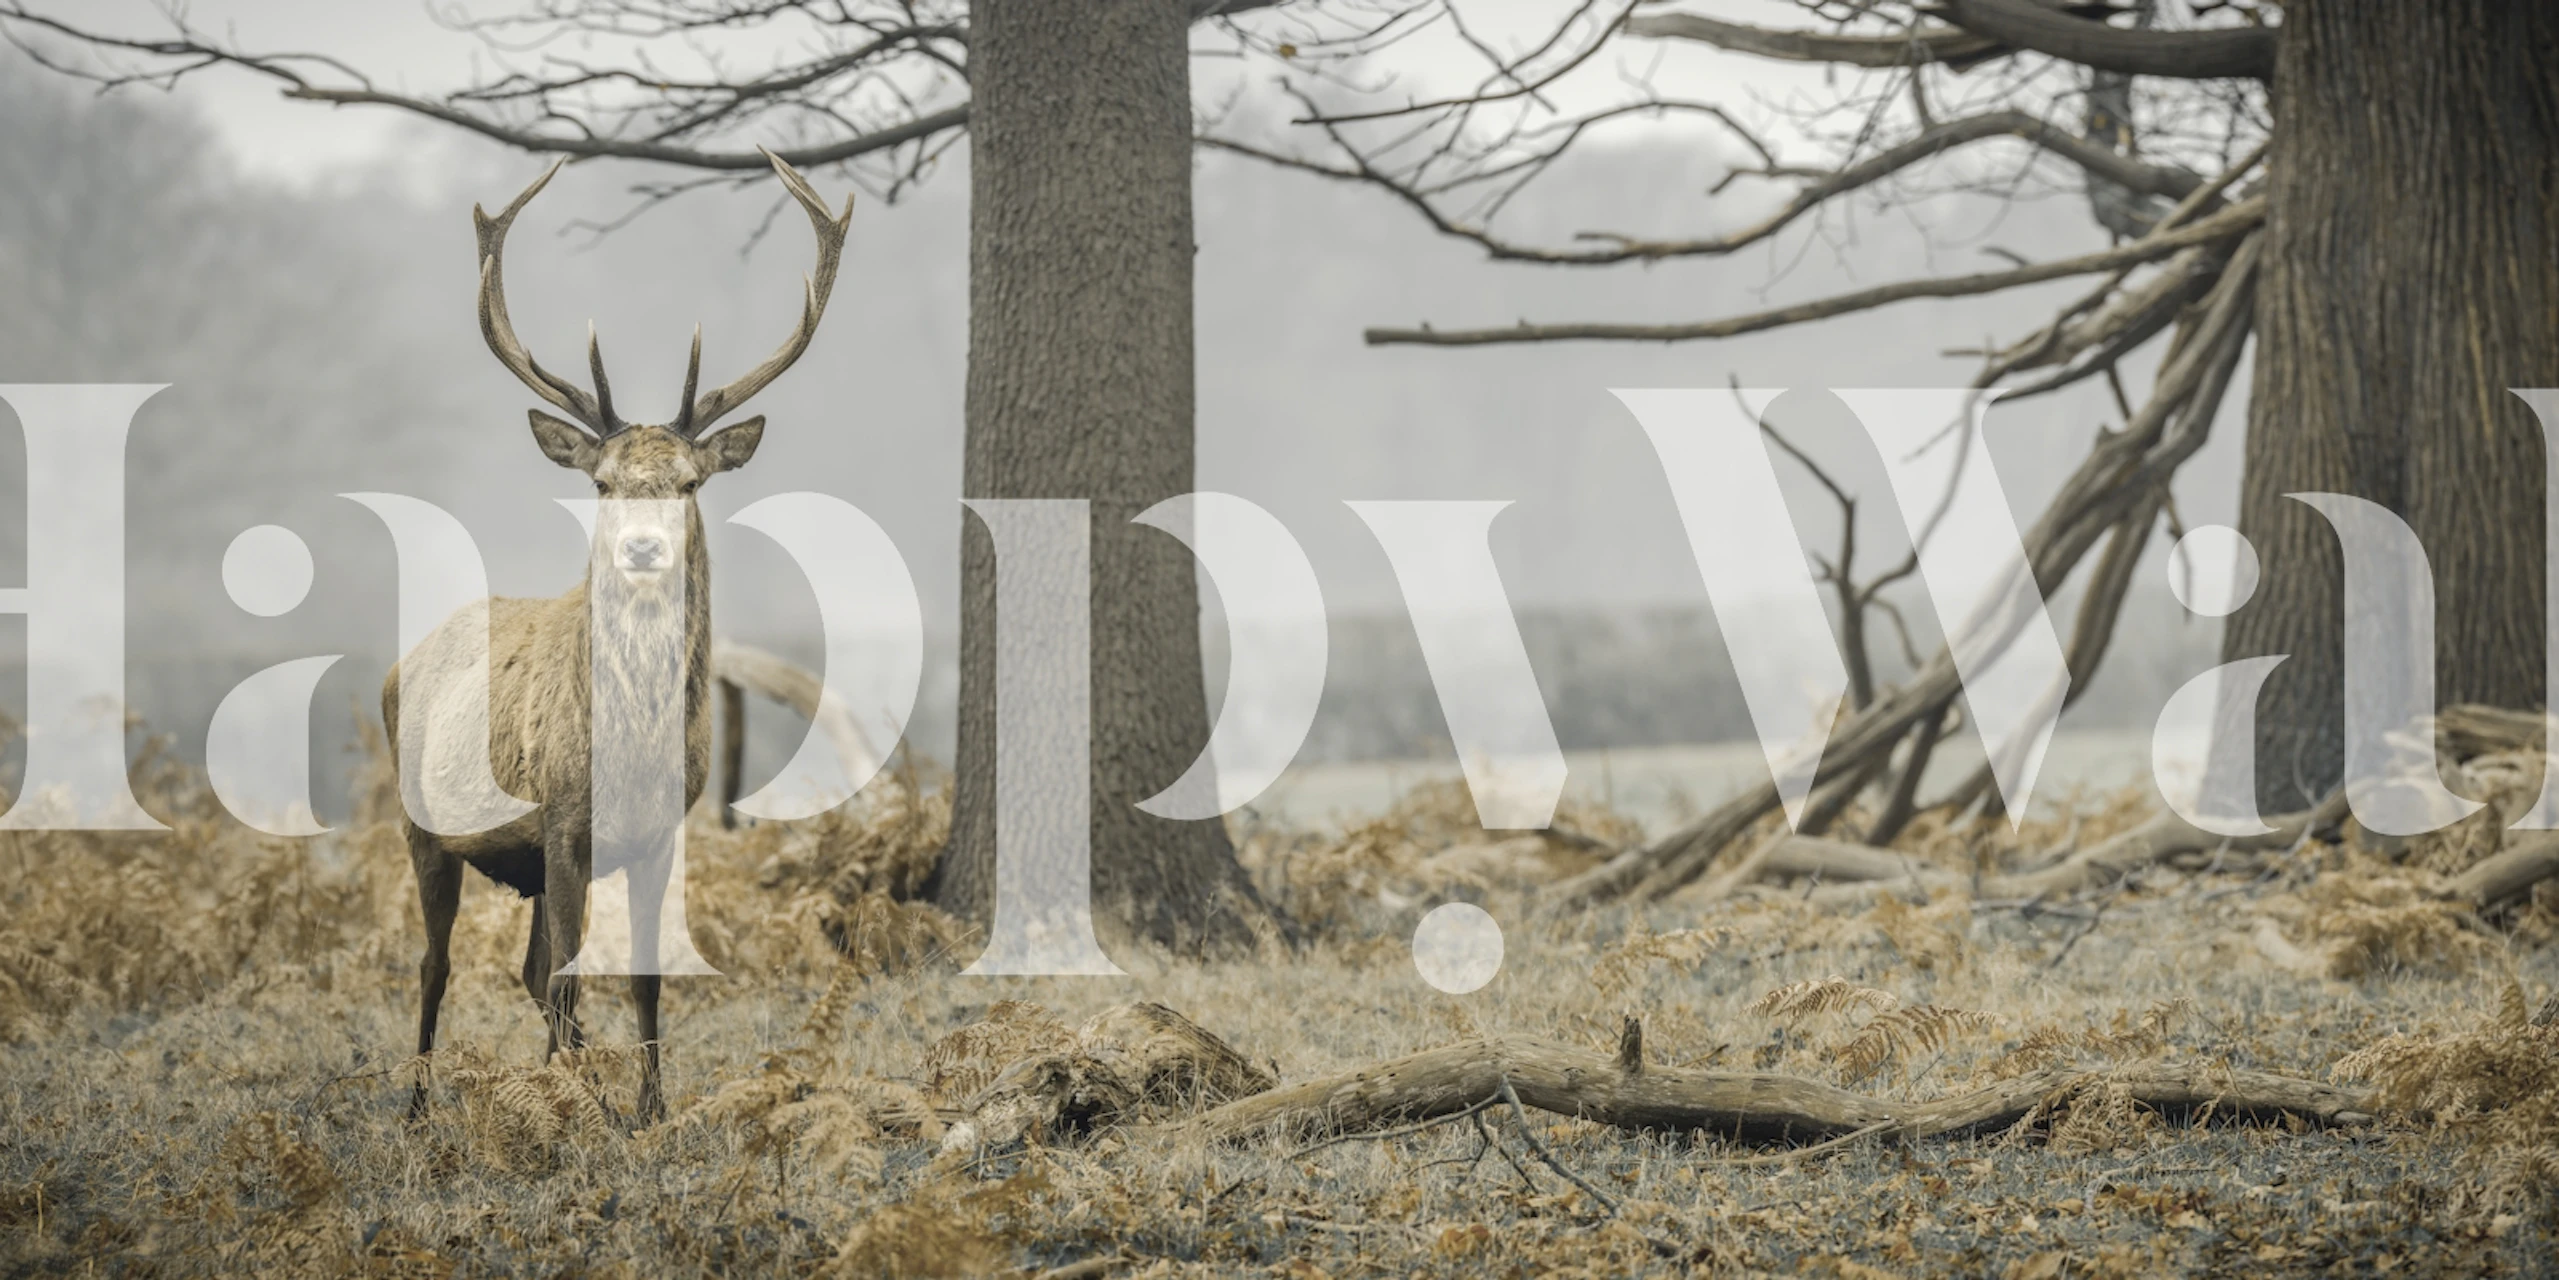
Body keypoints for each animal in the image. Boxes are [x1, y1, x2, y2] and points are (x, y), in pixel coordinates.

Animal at [387, 150, 850, 1124]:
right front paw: (571, 1113)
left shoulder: (662, 829)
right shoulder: (563, 817)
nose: (641, 544)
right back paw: (414, 1107)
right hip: (422, 826)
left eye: (688, 482)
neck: (631, 748)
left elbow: (641, 977)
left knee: (527, 970)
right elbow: (570, 978)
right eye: (602, 482)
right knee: (437, 964)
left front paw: (646, 1110)